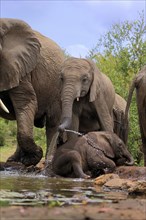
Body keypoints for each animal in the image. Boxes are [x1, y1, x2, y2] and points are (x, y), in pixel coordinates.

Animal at [0, 18, 64, 165]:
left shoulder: (20, 68)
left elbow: (26, 102)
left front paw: (32, 158)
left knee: (52, 122)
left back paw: (48, 161)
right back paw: (13, 160)